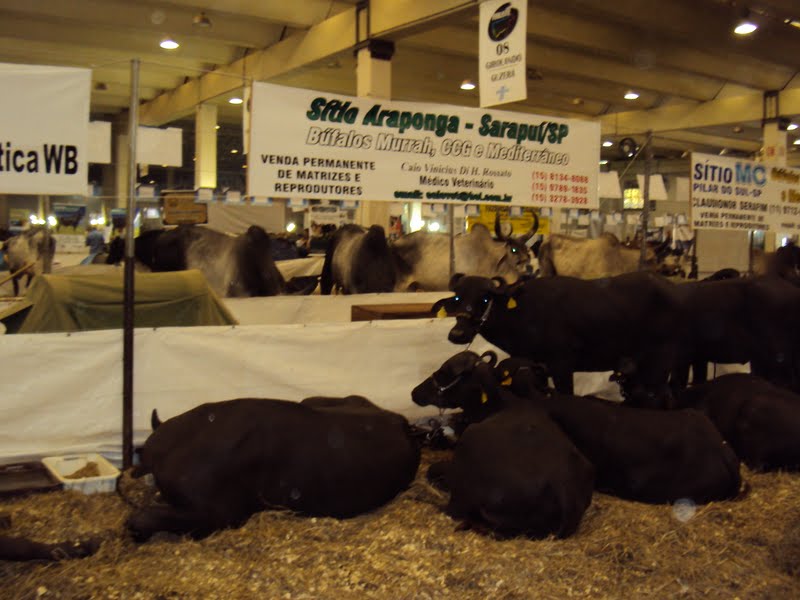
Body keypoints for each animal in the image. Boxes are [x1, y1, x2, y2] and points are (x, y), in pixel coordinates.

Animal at [413, 351, 594, 539]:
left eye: (443, 372)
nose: (415, 392)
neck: (501, 404)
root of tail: (563, 491)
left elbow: (432, 469)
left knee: (453, 508)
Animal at [431, 271, 685, 408]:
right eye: (457, 298)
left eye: (484, 299)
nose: (458, 334)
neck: (523, 311)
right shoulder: (535, 367)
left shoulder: (562, 365)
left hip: (660, 361)